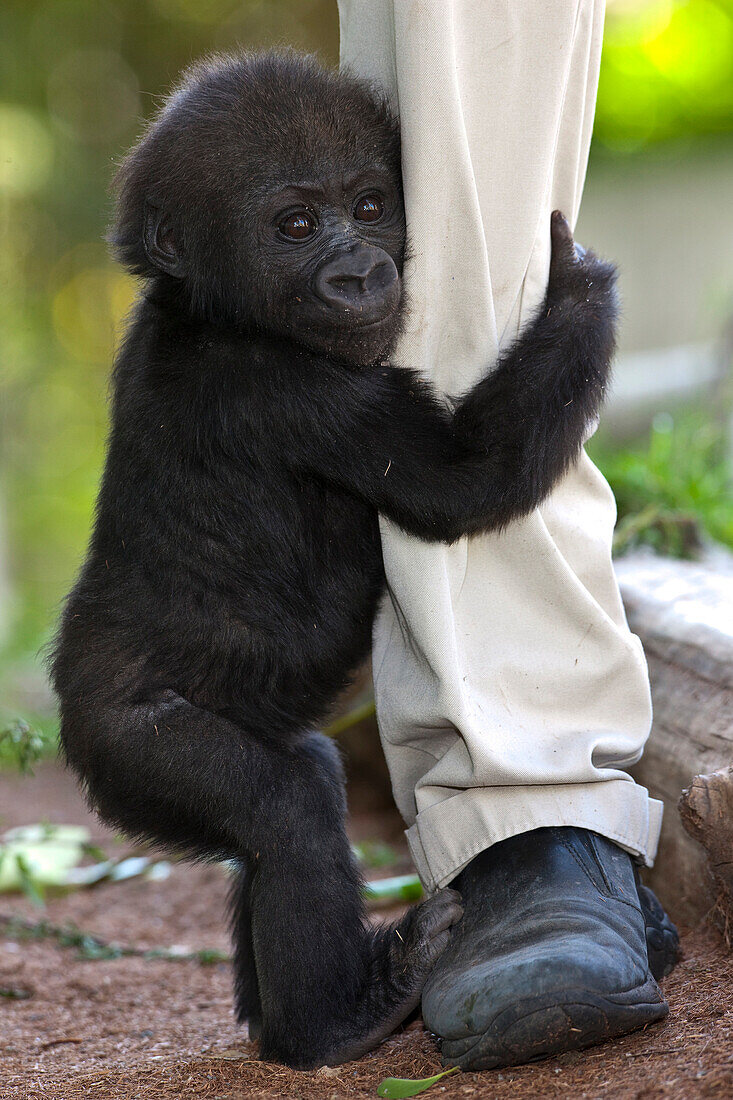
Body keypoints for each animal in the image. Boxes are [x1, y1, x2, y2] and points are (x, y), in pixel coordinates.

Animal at [51, 49, 620, 1064]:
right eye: (296, 225)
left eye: (368, 206)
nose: (359, 273)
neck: (206, 309)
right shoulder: (291, 386)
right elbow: (466, 480)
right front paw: (578, 289)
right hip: (125, 743)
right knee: (283, 812)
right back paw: (335, 1020)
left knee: (299, 783)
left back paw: (284, 1018)